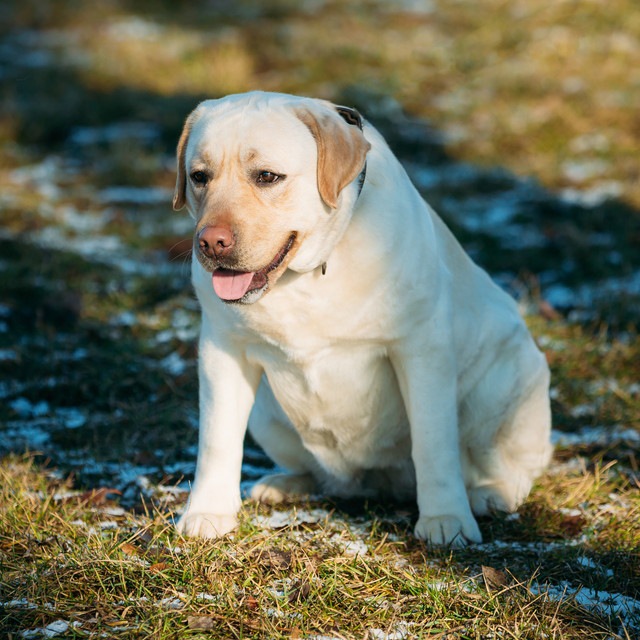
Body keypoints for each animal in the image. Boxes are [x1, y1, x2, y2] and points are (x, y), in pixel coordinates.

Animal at [172, 92, 552, 548]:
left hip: (508, 383)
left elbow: (433, 443)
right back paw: (285, 484)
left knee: (514, 468)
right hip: (267, 412)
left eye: (267, 176)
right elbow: (217, 438)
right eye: (199, 177)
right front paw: (208, 513)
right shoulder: (223, 349)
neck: (310, 273)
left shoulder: (421, 350)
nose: (210, 242)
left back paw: (490, 495)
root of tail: (377, 484)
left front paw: (446, 519)